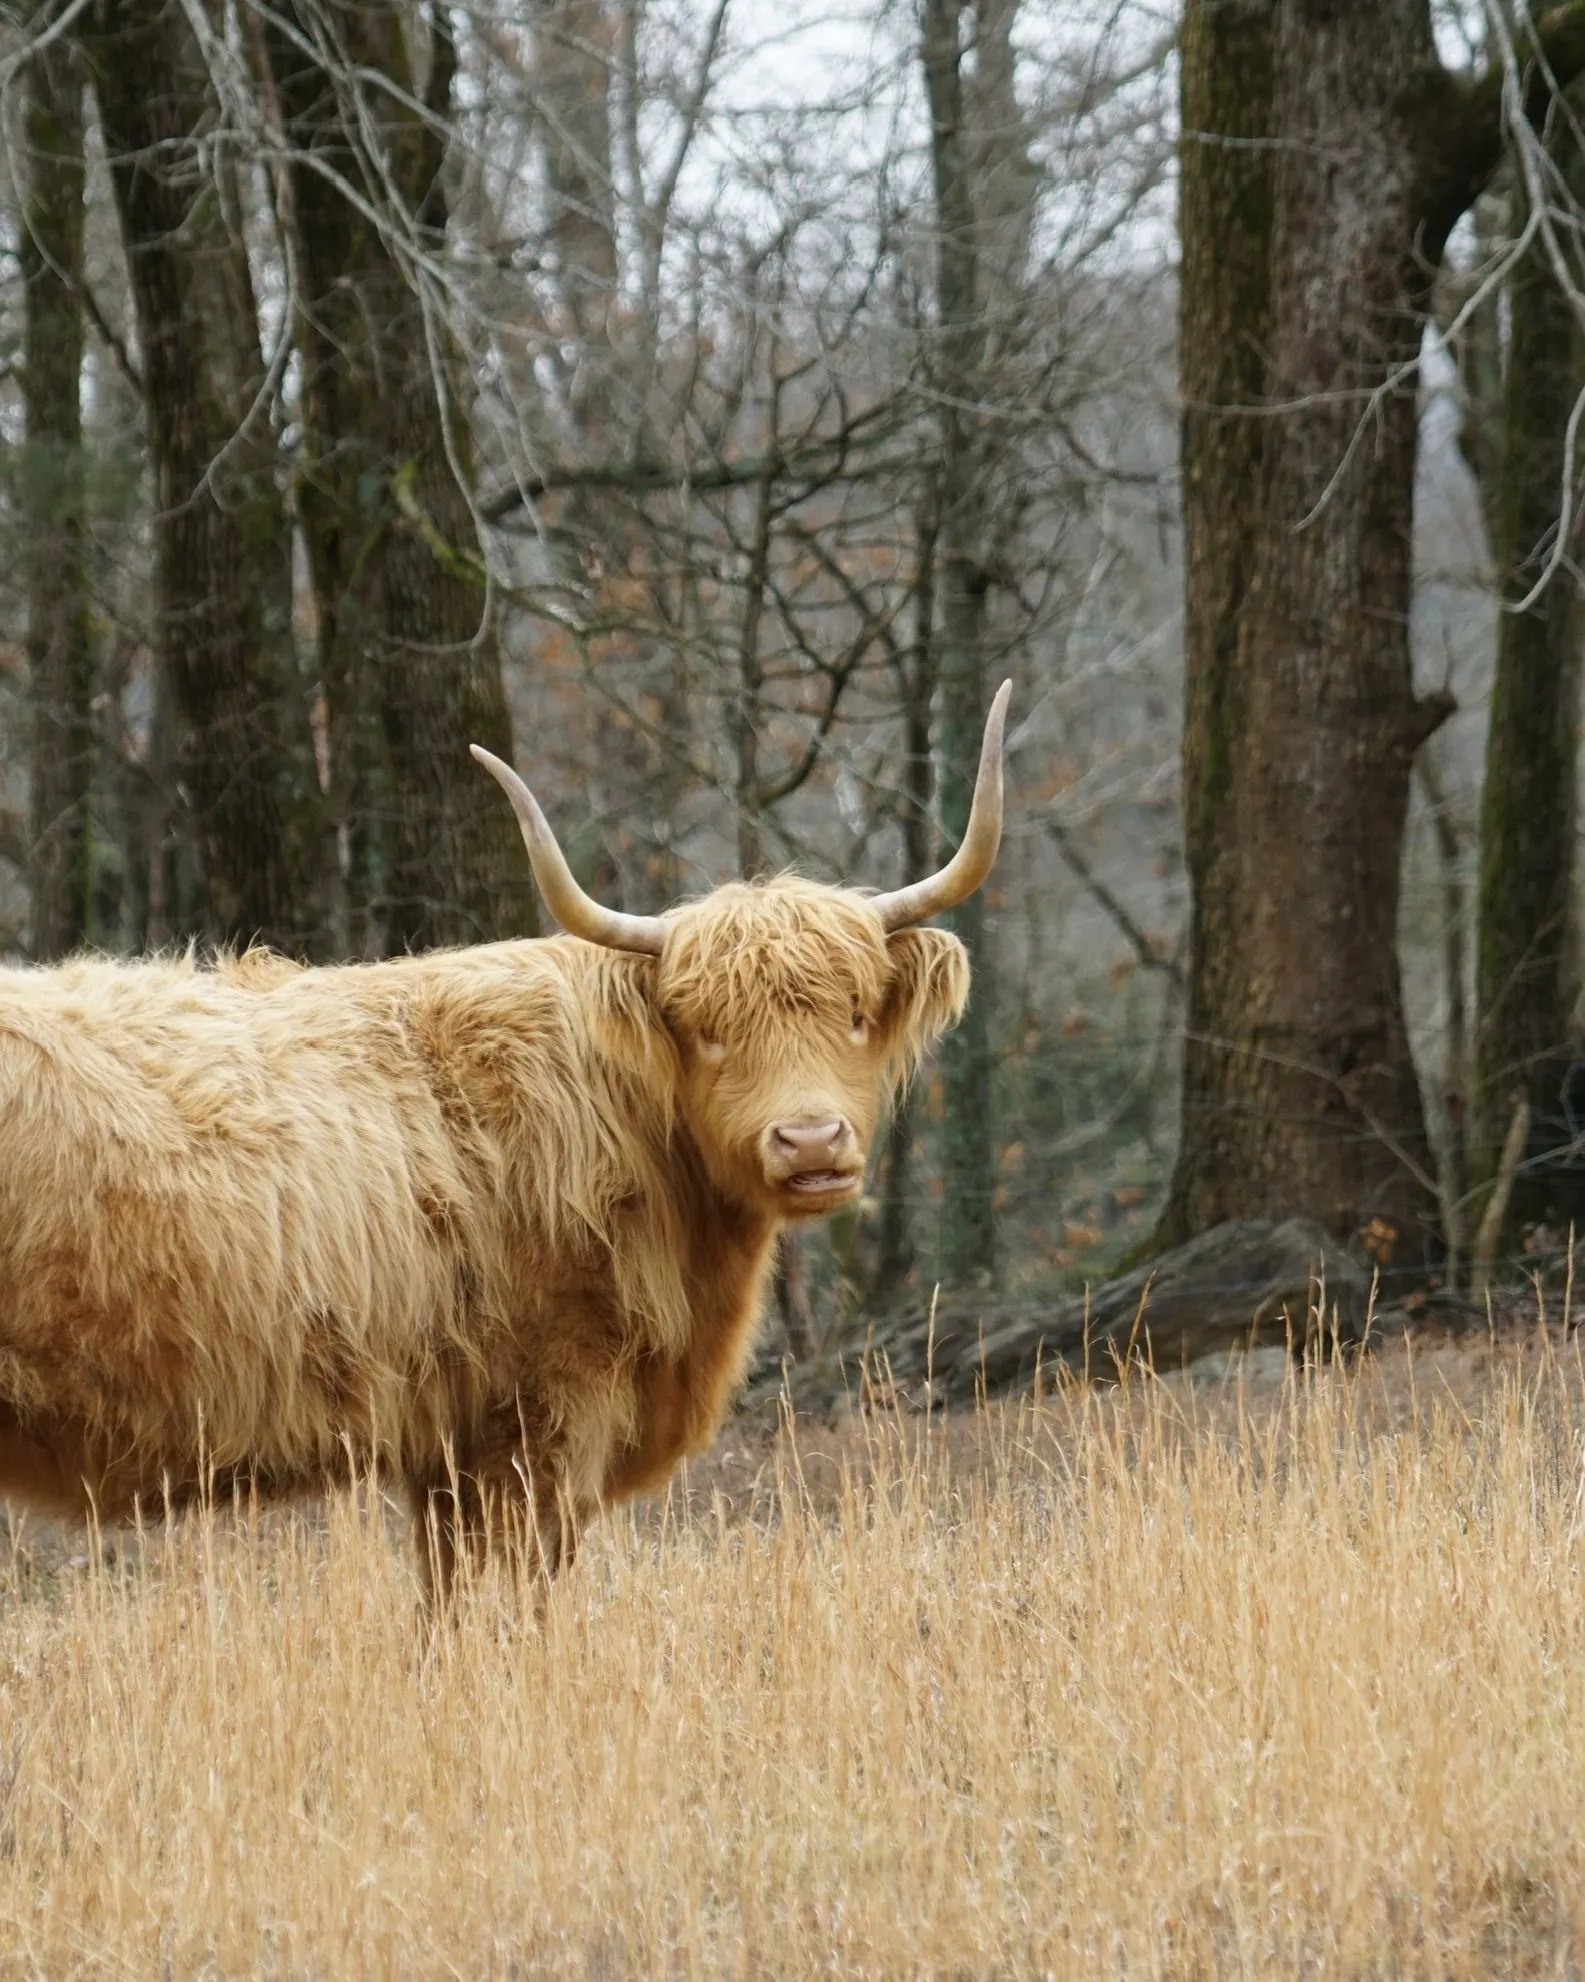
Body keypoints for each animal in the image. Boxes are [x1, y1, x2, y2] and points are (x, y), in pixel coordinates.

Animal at [0, 685, 1010, 1604]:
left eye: (855, 1013)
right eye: (707, 1029)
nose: (808, 1141)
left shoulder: (449, 1449)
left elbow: (449, 1606)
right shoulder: (540, 1415)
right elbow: (515, 1601)